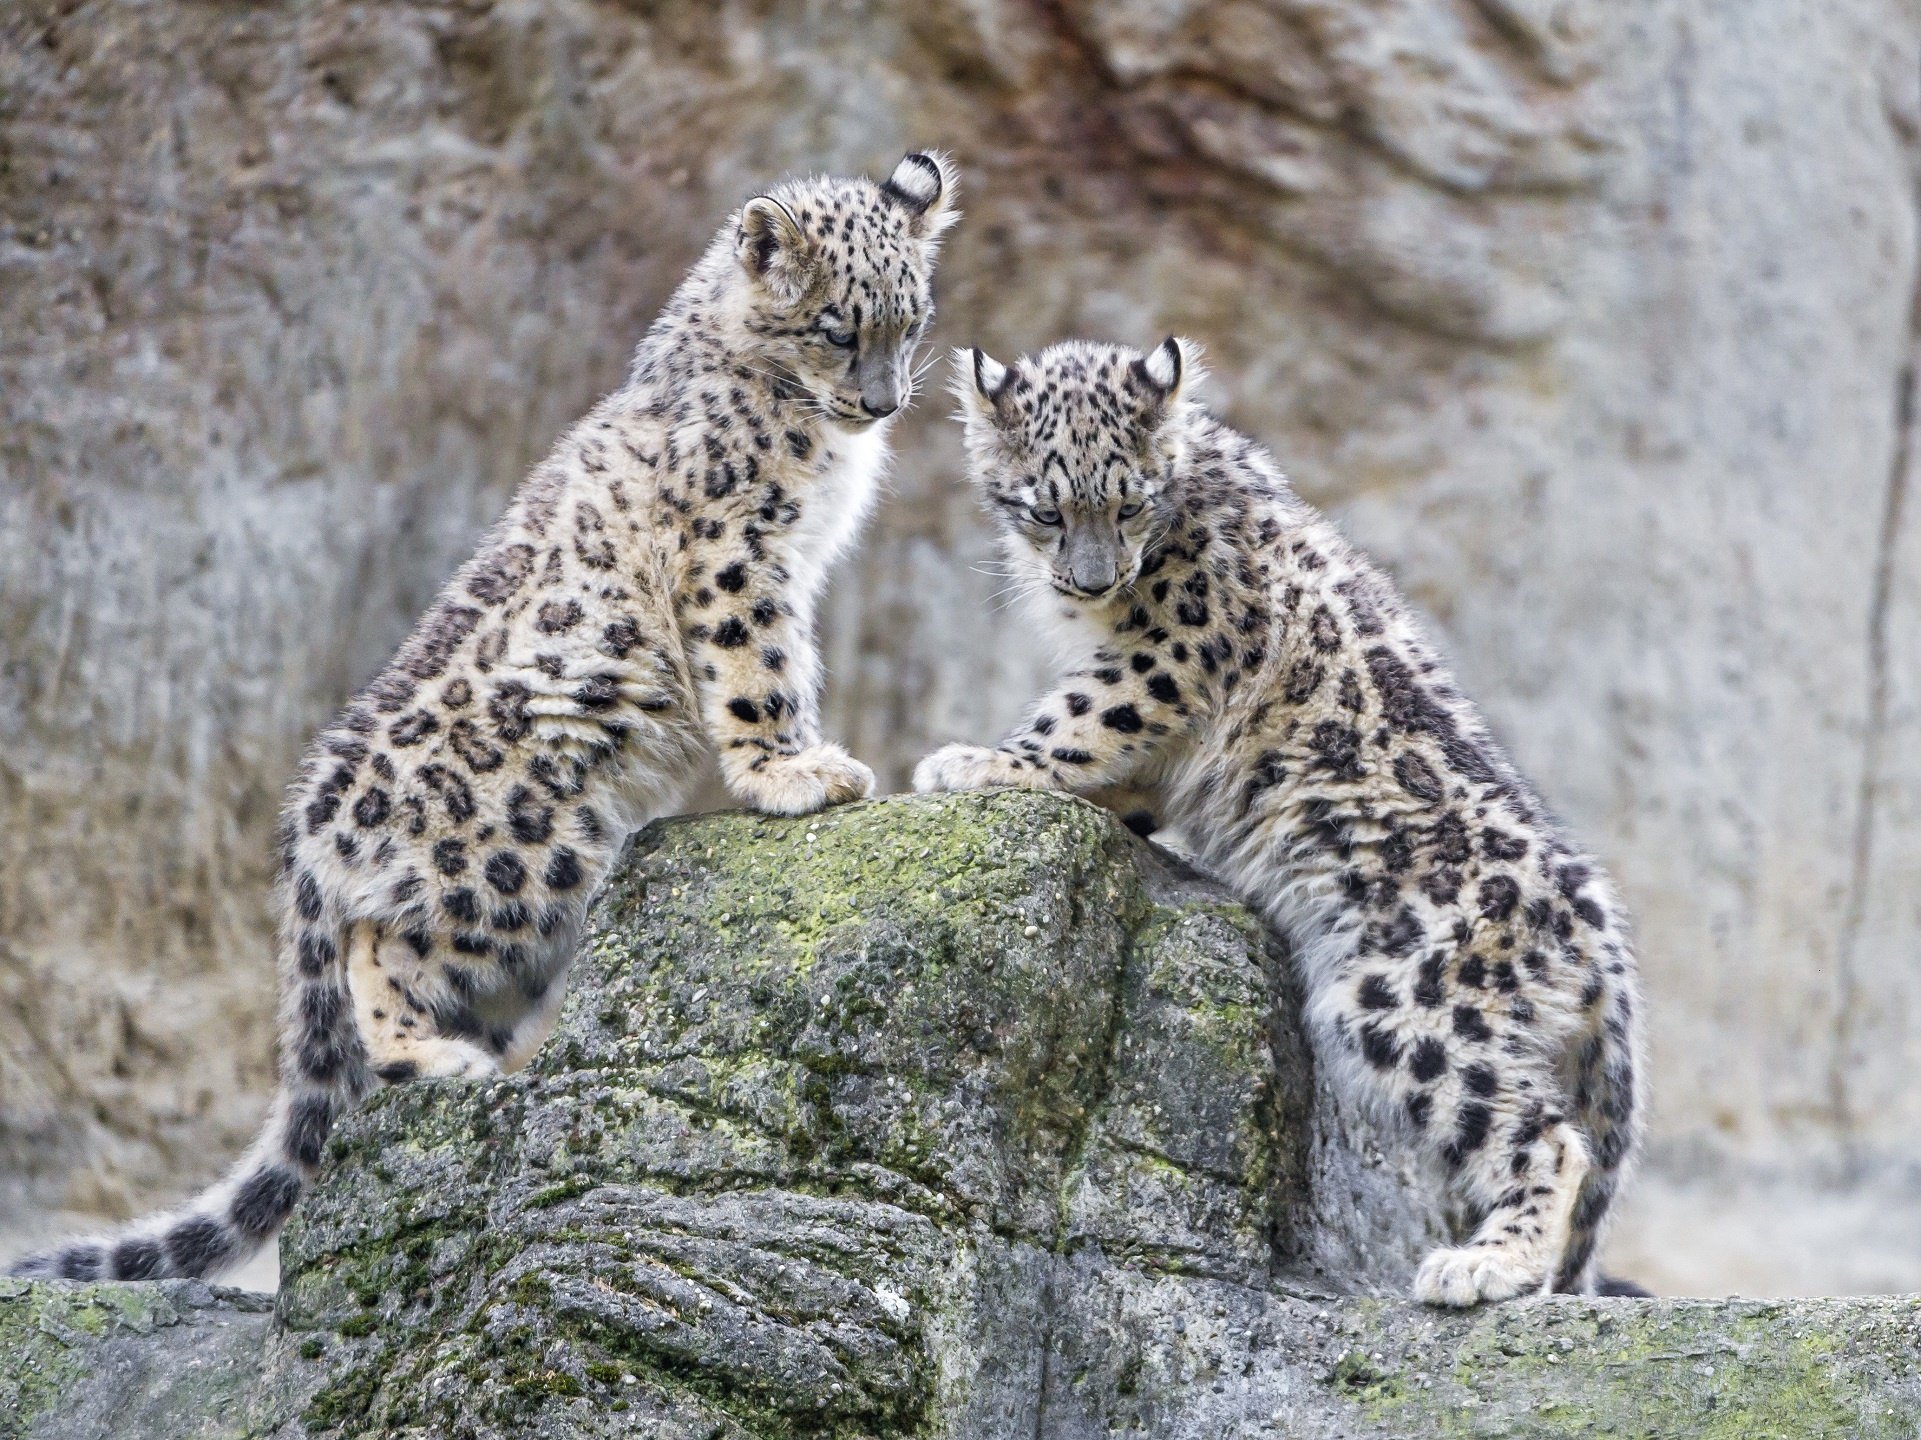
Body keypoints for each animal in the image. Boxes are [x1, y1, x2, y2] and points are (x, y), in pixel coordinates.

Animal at [10, 151, 960, 1283]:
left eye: (912, 320)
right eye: (835, 328)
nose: (884, 400)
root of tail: (309, 819)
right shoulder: (734, 552)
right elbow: (756, 664)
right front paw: (796, 770)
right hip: (527, 853)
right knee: (381, 950)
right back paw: (434, 1053)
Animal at [915, 336, 1643, 1306]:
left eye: (1130, 500)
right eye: (1045, 507)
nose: (1093, 578)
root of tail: (1593, 926)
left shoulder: (1170, 652)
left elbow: (1083, 714)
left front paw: (978, 761)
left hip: (1408, 1000)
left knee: (1545, 1134)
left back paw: (1484, 1263)